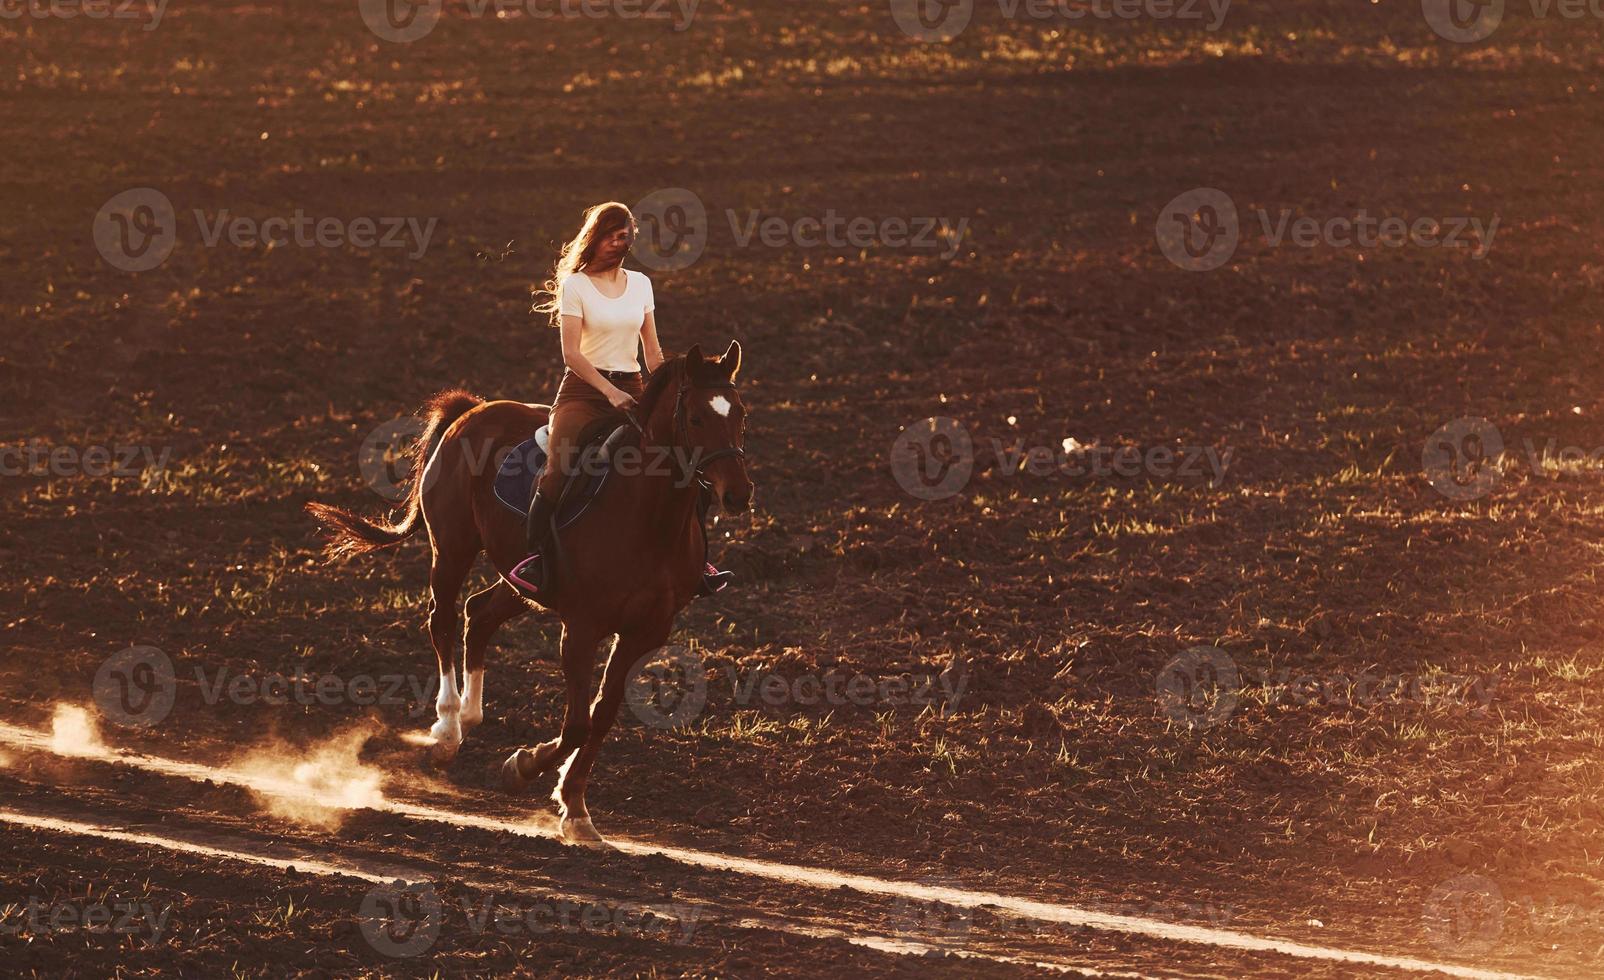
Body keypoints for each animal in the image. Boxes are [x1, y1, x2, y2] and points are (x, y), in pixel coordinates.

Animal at [309, 344, 753, 840]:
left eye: (740, 415)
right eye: (695, 417)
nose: (738, 494)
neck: (651, 518)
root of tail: (473, 409)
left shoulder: (645, 634)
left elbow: (601, 717)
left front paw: (575, 808)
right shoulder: (581, 628)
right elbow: (578, 724)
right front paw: (522, 768)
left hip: (517, 580)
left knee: (478, 613)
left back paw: (469, 716)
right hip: (453, 548)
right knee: (442, 618)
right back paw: (447, 730)